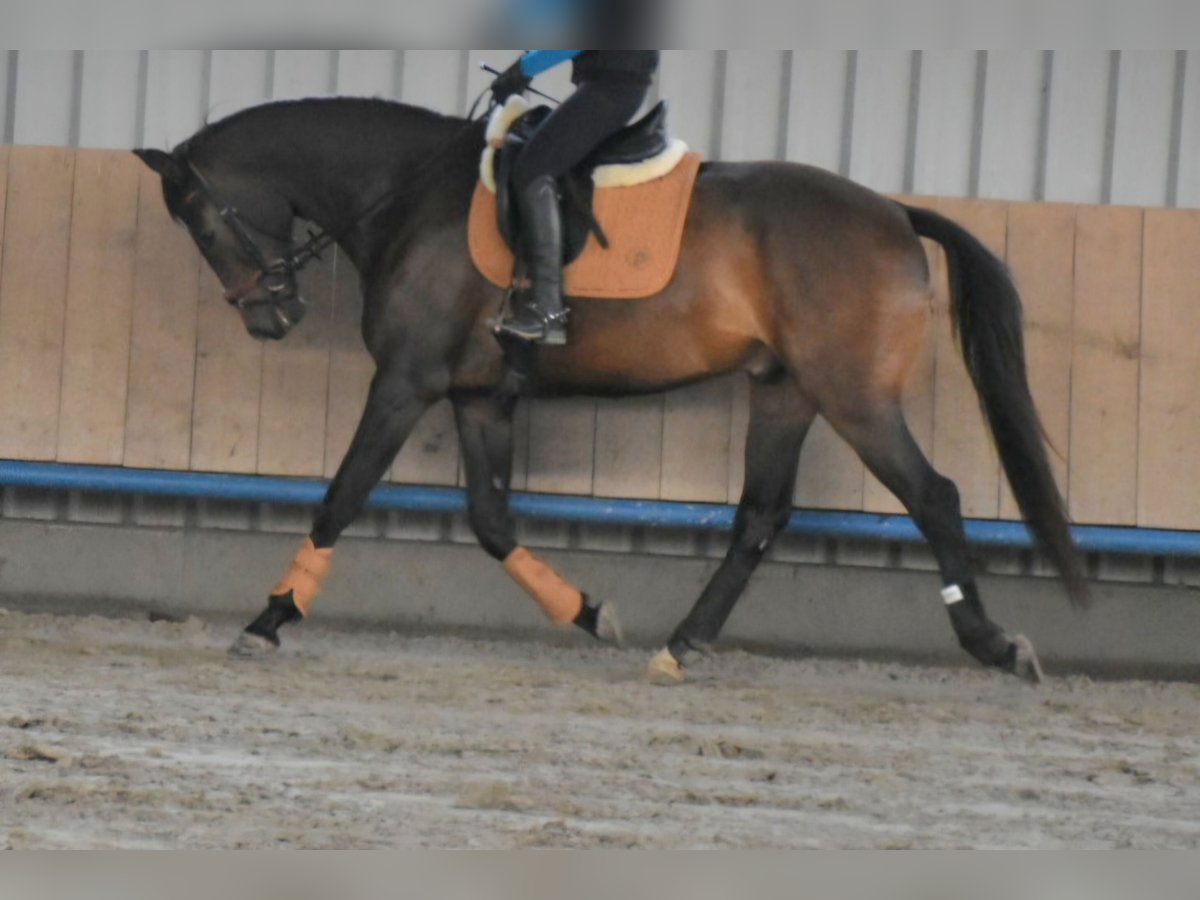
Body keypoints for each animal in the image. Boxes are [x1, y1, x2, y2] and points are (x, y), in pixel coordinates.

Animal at [136, 97, 1094, 681]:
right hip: (785, 391)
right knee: (761, 514)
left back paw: (995, 645)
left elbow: (341, 497)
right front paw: (591, 614)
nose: (270, 317)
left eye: (199, 224)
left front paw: (269, 618)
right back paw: (682, 644)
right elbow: (491, 521)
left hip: (854, 396)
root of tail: (896, 213)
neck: (412, 197)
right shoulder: (481, 397)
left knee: (934, 496)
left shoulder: (405, 383)